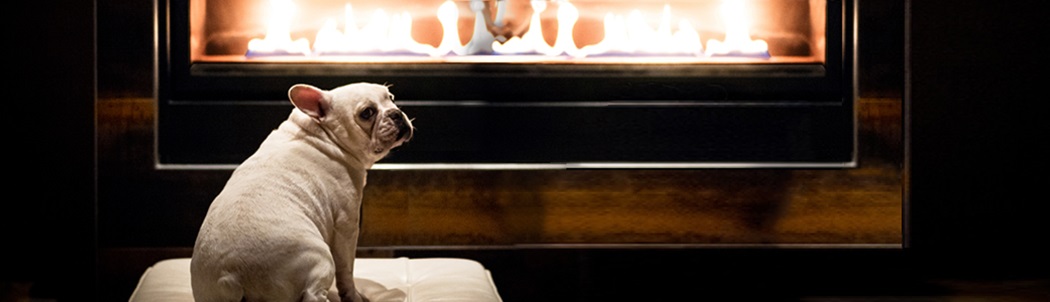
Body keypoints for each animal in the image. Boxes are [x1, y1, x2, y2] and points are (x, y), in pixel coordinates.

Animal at [191, 82, 411, 302]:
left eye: (391, 97)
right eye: (367, 113)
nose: (396, 113)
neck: (323, 135)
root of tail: (232, 277)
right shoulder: (346, 227)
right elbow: (346, 272)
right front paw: (354, 296)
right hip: (321, 258)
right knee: (313, 294)